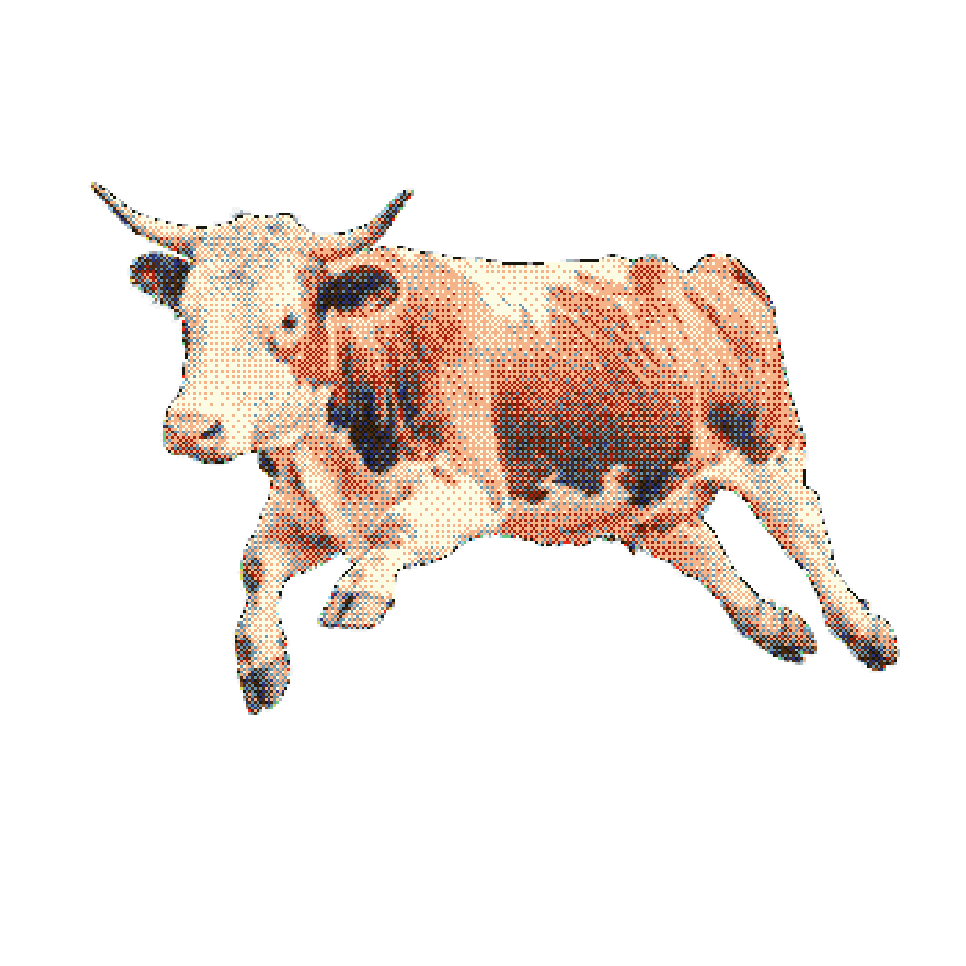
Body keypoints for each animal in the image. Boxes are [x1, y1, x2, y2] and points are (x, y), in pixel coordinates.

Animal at [91, 183, 899, 714]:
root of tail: (703, 272)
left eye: (288, 318)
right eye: (186, 318)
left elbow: (396, 530)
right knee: (698, 546)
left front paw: (359, 593)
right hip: (645, 489)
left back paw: (866, 634)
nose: (191, 428)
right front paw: (261, 666)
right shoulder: (307, 510)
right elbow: (257, 561)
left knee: (807, 536)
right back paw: (771, 626)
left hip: (769, 449)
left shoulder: (475, 487)